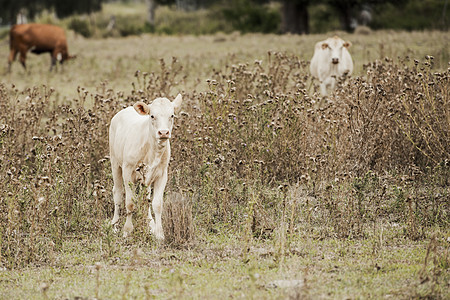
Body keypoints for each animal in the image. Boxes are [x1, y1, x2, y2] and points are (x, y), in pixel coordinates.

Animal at [109, 94, 183, 239]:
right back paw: (114, 225)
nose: (163, 132)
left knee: (147, 197)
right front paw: (127, 230)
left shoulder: (162, 174)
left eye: (172, 115)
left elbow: (157, 204)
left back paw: (151, 225)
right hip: (115, 163)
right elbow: (130, 203)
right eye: (152, 116)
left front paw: (159, 234)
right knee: (118, 192)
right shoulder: (127, 172)